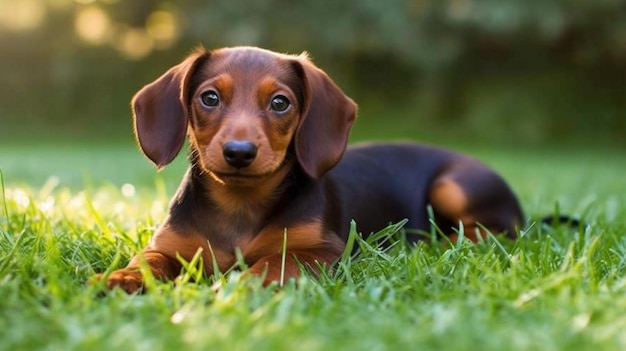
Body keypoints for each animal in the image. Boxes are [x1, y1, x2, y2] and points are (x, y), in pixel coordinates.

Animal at [101, 46, 520, 294]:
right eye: (209, 98)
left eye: (280, 103)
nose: (239, 152)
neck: (239, 205)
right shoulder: (169, 246)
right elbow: (149, 261)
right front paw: (121, 278)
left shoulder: (321, 249)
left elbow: (276, 262)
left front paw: (241, 285)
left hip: (453, 185)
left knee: (497, 232)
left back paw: (440, 243)